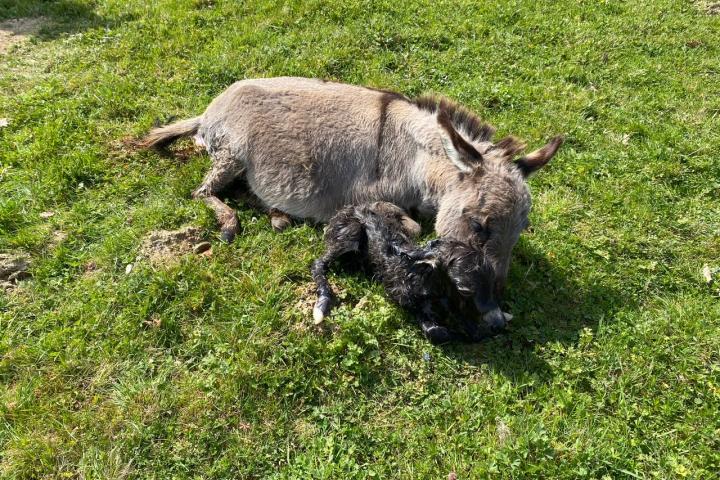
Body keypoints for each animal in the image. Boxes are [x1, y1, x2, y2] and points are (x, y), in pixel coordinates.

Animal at [310, 201, 506, 344]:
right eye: (464, 290)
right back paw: (322, 302)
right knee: (319, 263)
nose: (500, 324)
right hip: (349, 234)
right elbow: (437, 332)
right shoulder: (405, 297)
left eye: (492, 281)